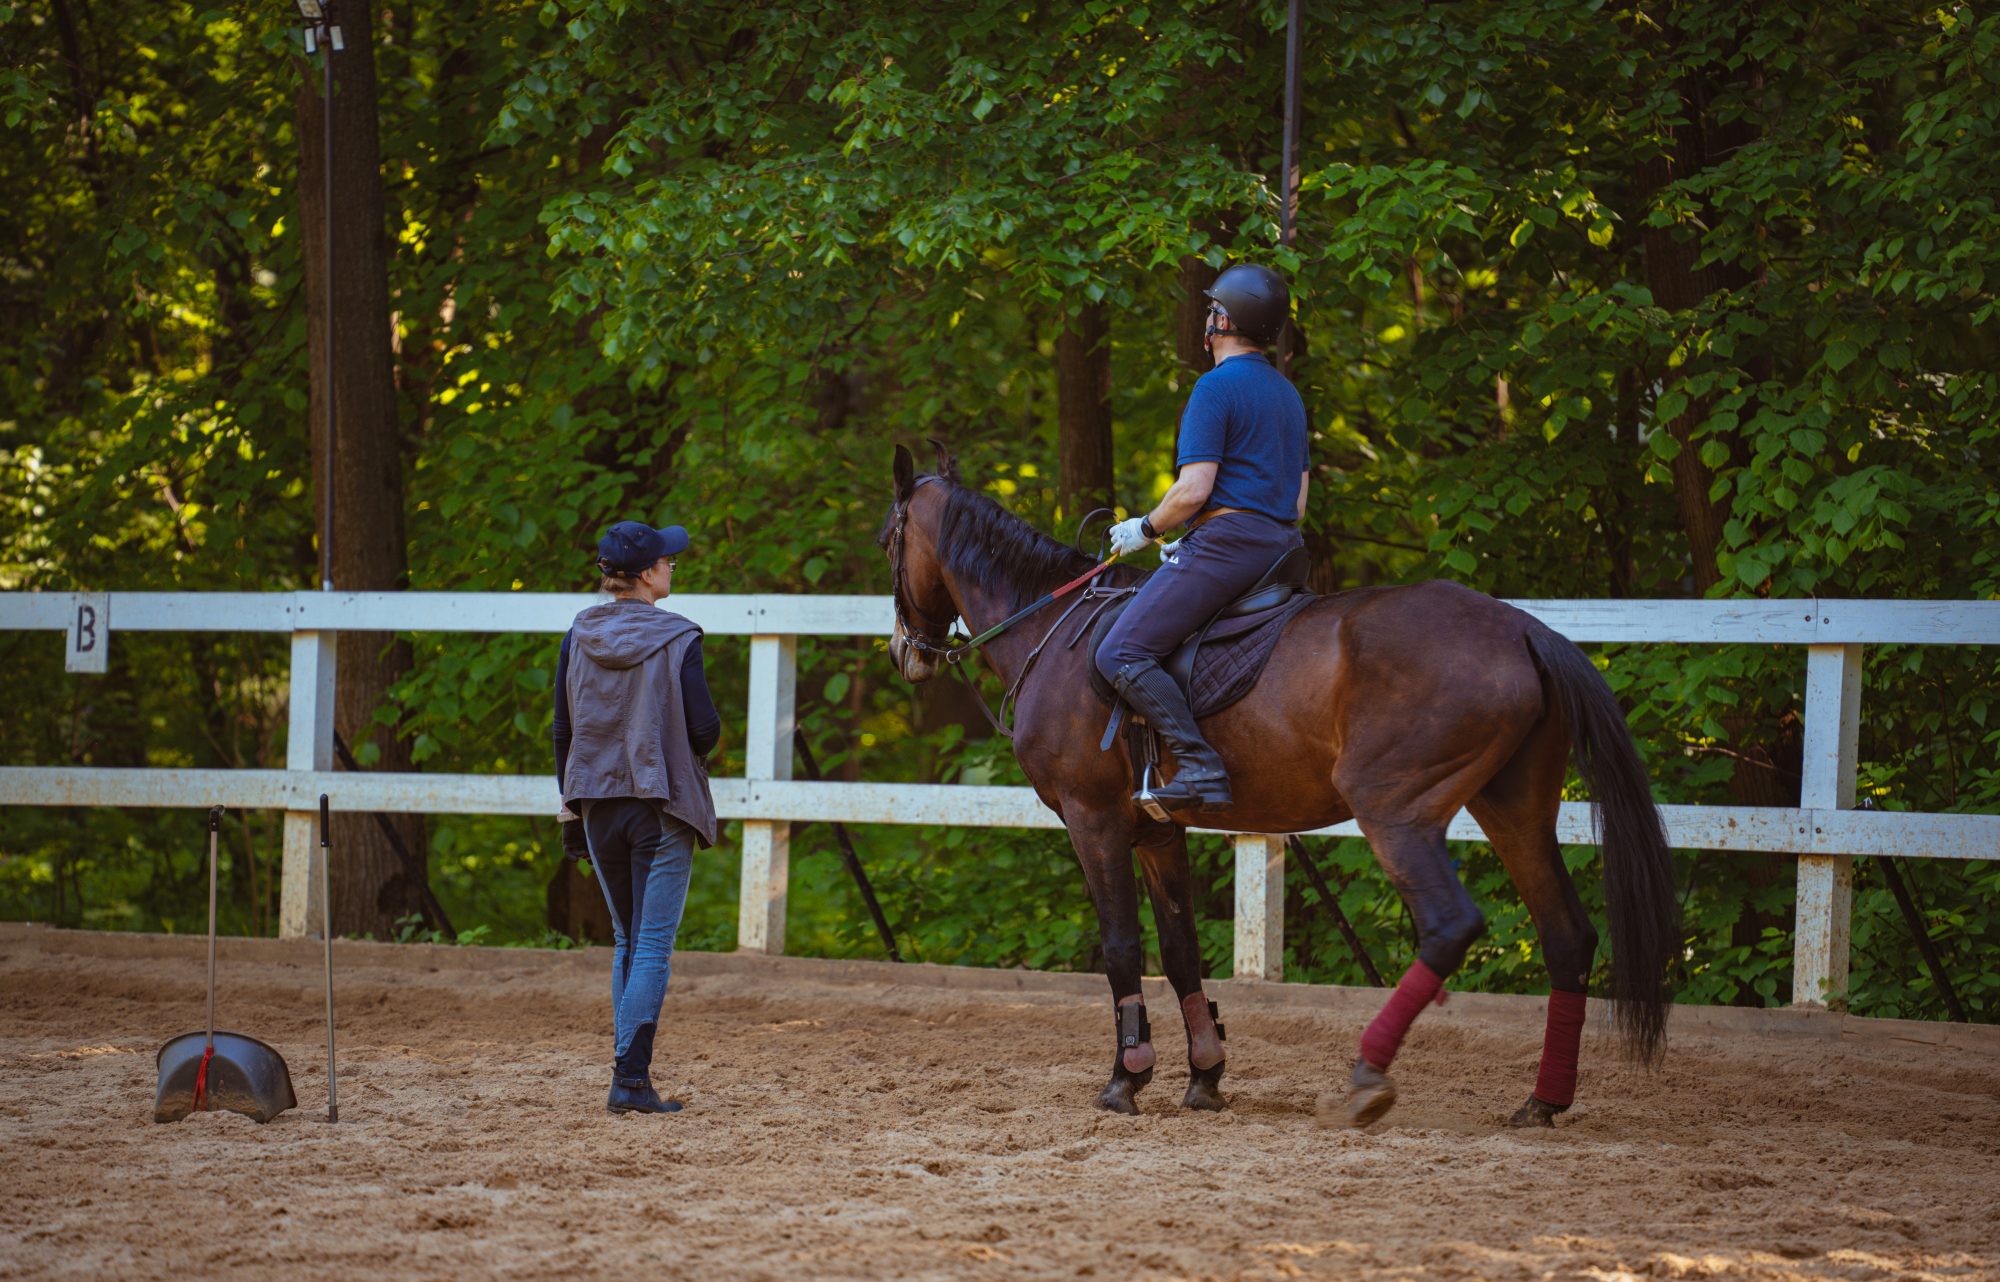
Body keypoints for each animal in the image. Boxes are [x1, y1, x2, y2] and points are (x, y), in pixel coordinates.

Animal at [879, 443, 1678, 1126]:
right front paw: (1204, 1074)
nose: (903, 654)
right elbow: (1180, 951)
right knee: (1567, 936)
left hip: (1397, 810)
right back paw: (1542, 1101)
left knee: (1450, 926)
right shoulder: (1157, 831)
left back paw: (1365, 1079)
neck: (1051, 629)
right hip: (1516, 810)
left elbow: (1121, 946)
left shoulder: (1093, 819)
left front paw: (1126, 1078)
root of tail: (1520, 629)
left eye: (889, 539)